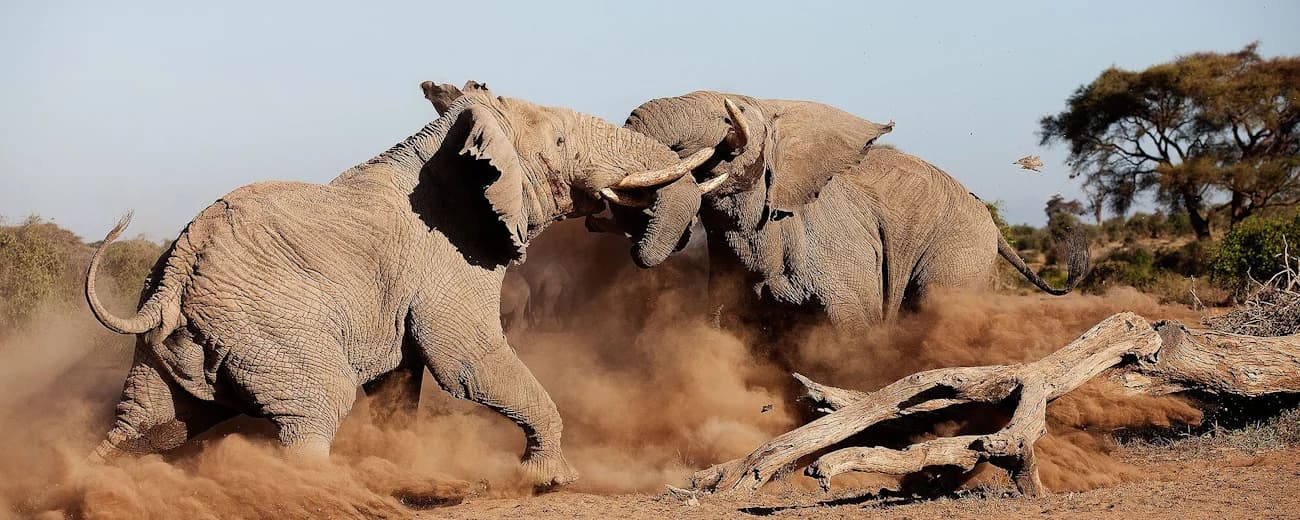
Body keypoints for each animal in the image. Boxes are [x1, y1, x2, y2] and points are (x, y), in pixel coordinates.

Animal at [82, 82, 729, 488]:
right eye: (562, 144)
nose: (634, 241)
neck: (451, 145)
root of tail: (177, 272)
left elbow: (402, 378)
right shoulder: (448, 258)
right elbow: (465, 361)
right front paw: (549, 480)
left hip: (175, 345)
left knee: (152, 425)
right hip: (272, 327)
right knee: (316, 409)